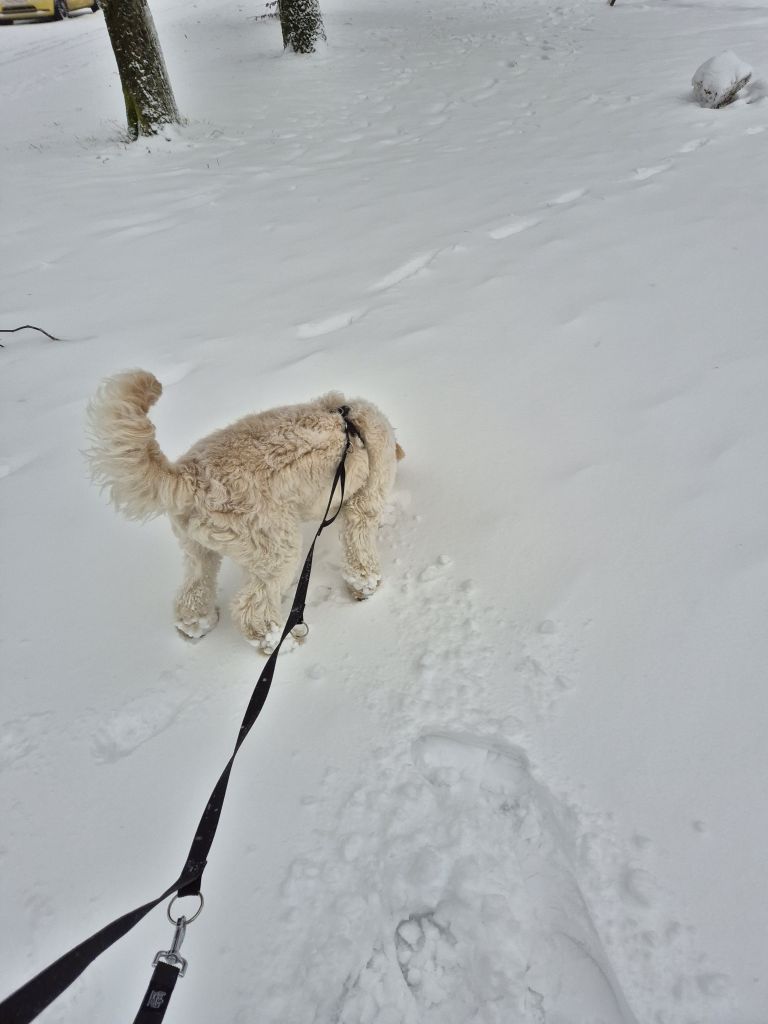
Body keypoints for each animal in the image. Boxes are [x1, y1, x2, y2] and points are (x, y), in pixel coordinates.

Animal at [86, 371, 404, 652]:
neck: (355, 426)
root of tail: (189, 475)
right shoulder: (365, 503)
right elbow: (360, 549)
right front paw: (366, 587)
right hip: (277, 550)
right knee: (252, 608)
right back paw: (278, 642)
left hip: (198, 549)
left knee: (193, 592)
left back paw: (196, 625)